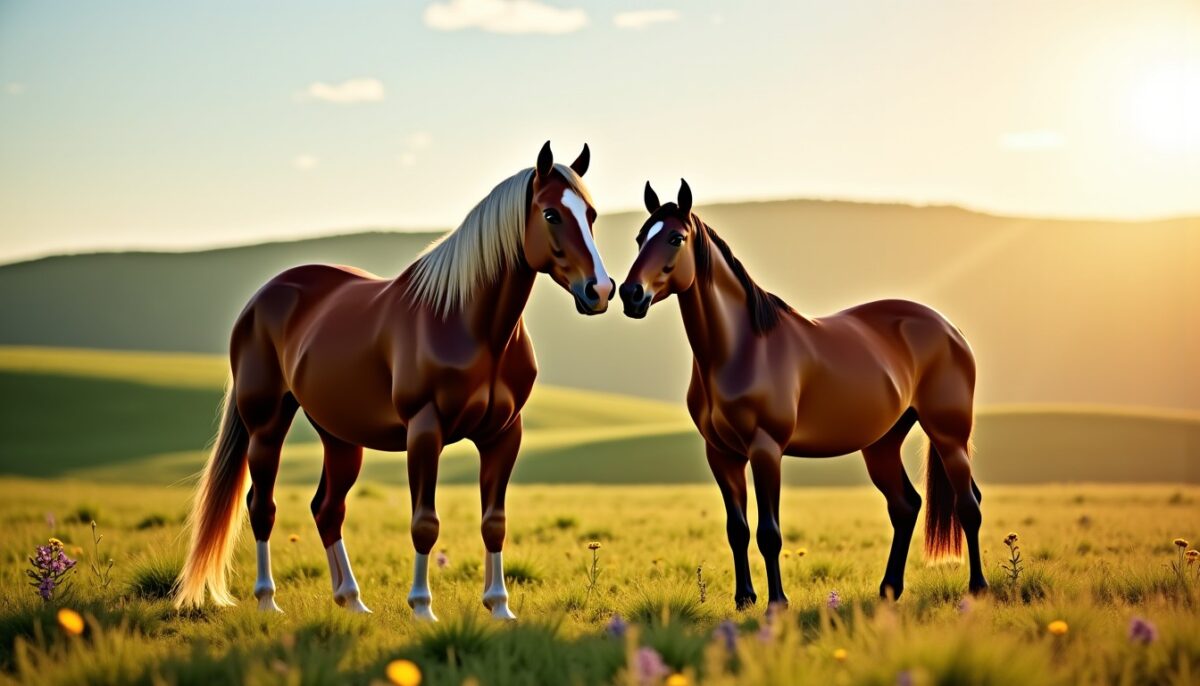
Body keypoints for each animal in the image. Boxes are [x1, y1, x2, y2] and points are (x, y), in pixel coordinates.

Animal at [175, 142, 614, 621]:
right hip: (267, 426)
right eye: (551, 214)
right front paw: (422, 608)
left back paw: (351, 600)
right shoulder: (425, 430)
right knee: (262, 506)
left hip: (340, 436)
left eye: (591, 214)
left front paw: (499, 607)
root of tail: (262, 298)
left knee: (327, 509)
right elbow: (425, 523)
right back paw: (267, 599)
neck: (468, 324)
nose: (600, 290)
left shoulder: (503, 434)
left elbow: (494, 523)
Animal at [617, 180, 985, 608]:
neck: (742, 348)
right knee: (905, 506)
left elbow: (769, 533)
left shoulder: (765, 450)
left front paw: (777, 603)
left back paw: (978, 588)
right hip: (882, 443)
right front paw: (744, 599)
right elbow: (737, 530)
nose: (631, 294)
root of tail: (949, 328)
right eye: (640, 237)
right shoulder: (721, 454)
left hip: (948, 435)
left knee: (968, 505)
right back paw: (888, 590)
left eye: (676, 238)